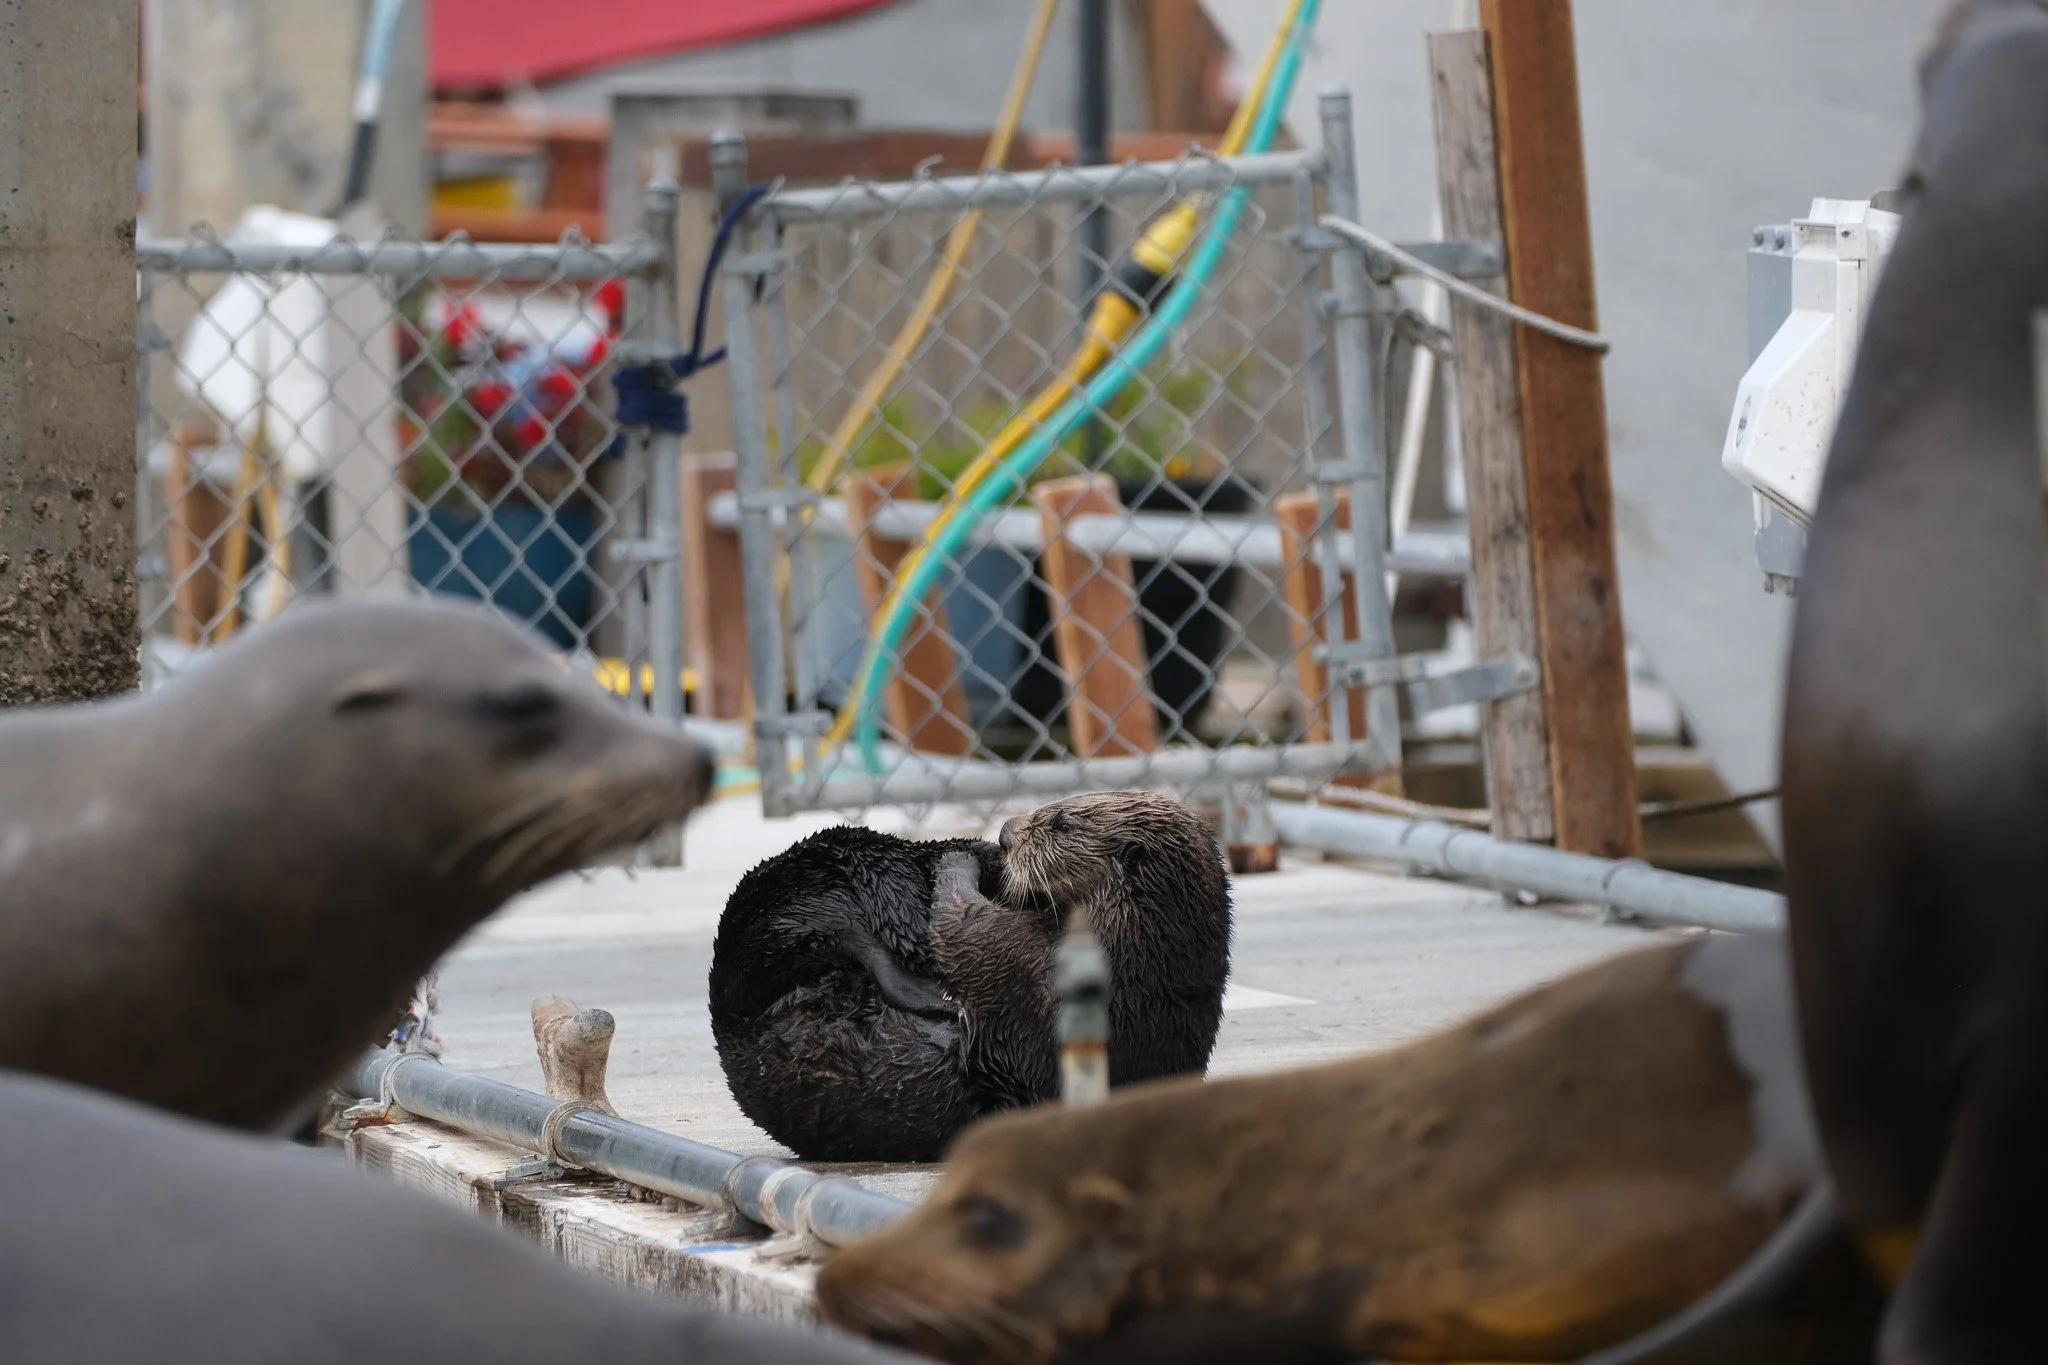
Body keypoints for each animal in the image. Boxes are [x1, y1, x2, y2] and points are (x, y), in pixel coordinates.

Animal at [708, 790, 1233, 1163]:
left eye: (1062, 823)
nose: (1005, 831)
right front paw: (980, 851)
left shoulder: (1027, 964)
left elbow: (963, 925)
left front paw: (964, 860)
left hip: (799, 896)